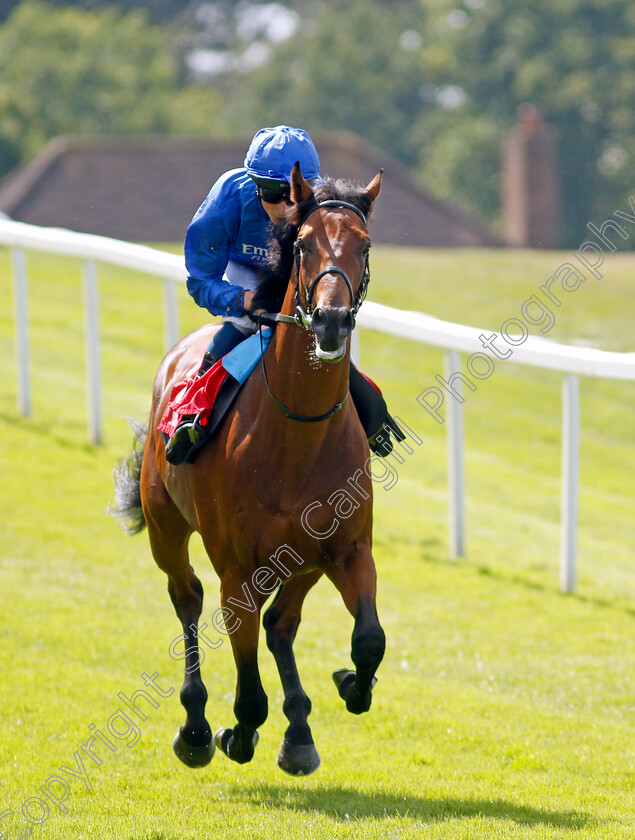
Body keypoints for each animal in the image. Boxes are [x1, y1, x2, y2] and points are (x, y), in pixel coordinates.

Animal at [112, 162, 386, 776]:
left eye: (365, 245)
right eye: (303, 245)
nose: (331, 321)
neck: (297, 438)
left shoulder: (346, 548)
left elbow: (369, 641)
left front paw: (348, 684)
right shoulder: (236, 567)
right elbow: (247, 684)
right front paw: (233, 732)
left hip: (301, 560)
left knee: (281, 624)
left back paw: (300, 730)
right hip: (166, 527)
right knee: (187, 596)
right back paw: (195, 725)